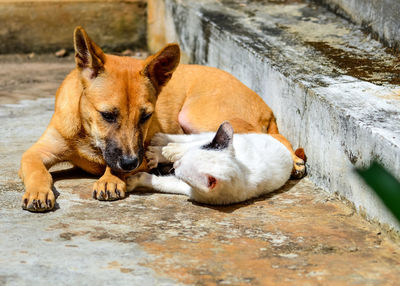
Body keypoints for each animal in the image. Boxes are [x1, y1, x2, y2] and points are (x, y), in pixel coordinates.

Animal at [128, 122, 294, 204]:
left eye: (182, 173)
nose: (175, 165)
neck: (243, 172)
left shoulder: (197, 192)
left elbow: (163, 183)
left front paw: (137, 180)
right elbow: (190, 145)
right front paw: (168, 152)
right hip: (235, 139)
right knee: (194, 138)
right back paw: (163, 144)